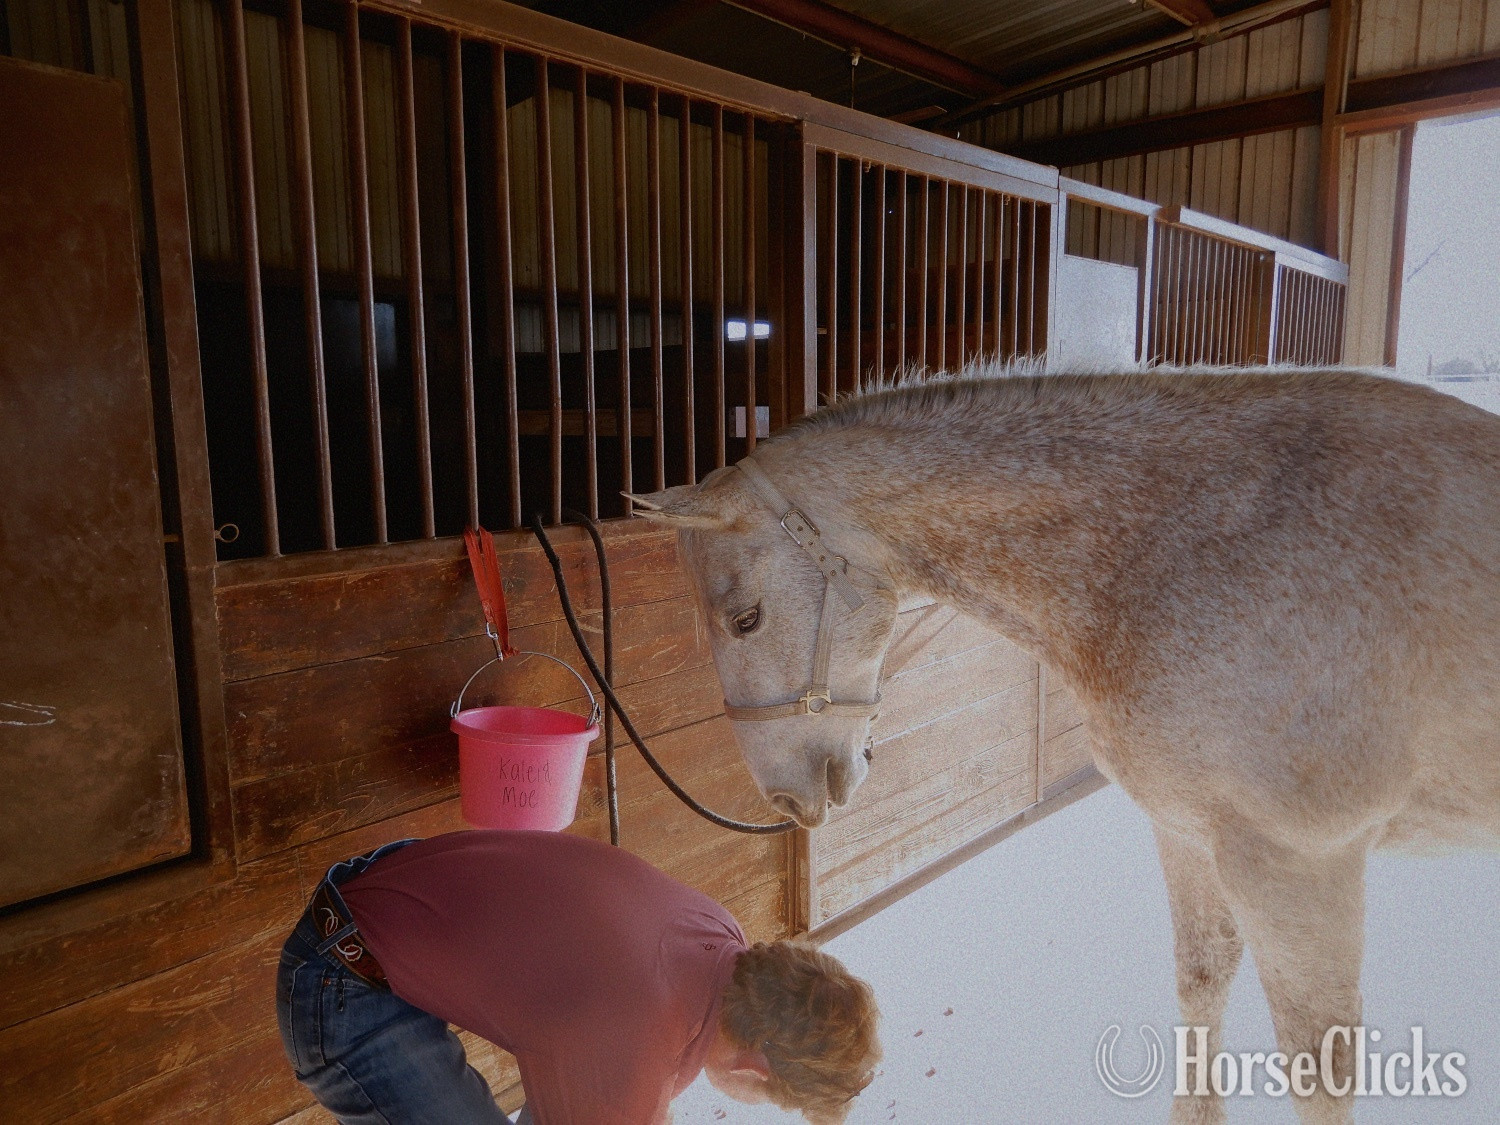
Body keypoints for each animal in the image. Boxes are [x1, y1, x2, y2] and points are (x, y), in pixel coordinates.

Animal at [629, 366, 1500, 1124]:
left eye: (746, 617)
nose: (785, 793)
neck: (1183, 551)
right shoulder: (1188, 829)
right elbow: (1202, 979)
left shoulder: (1299, 861)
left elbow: (1319, 1068)